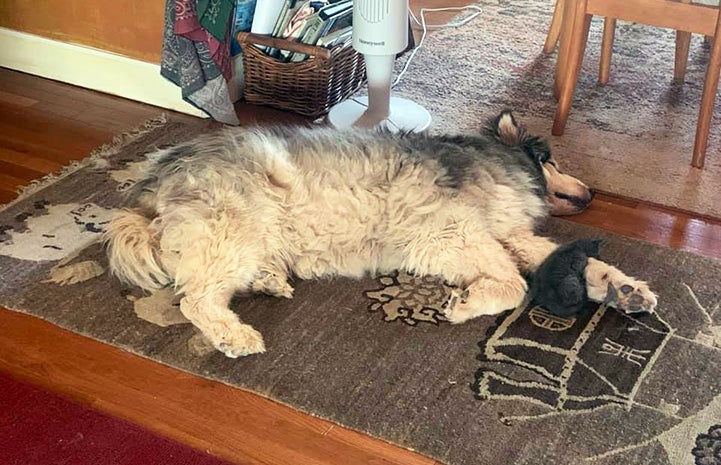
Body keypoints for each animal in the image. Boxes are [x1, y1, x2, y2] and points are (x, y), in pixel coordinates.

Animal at [107, 111, 660, 356]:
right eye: (553, 160)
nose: (593, 192)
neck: (487, 162)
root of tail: (151, 183)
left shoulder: (511, 236)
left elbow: (576, 262)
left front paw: (625, 289)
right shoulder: (450, 233)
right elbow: (513, 283)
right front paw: (465, 304)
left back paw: (269, 279)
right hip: (232, 230)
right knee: (194, 298)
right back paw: (235, 334)